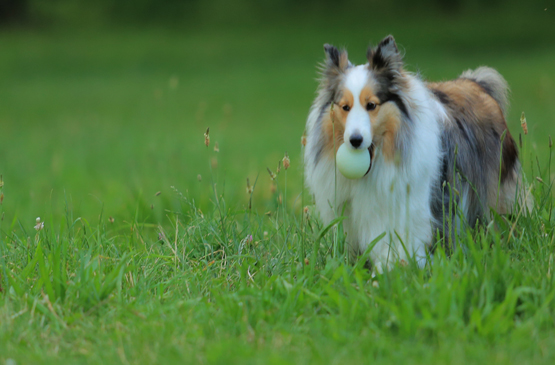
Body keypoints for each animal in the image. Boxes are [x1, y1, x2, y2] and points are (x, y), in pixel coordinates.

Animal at [306, 35, 532, 272]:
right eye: (345, 107)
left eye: (371, 105)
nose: (355, 140)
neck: (381, 160)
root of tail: (476, 82)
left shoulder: (408, 208)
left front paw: (394, 268)